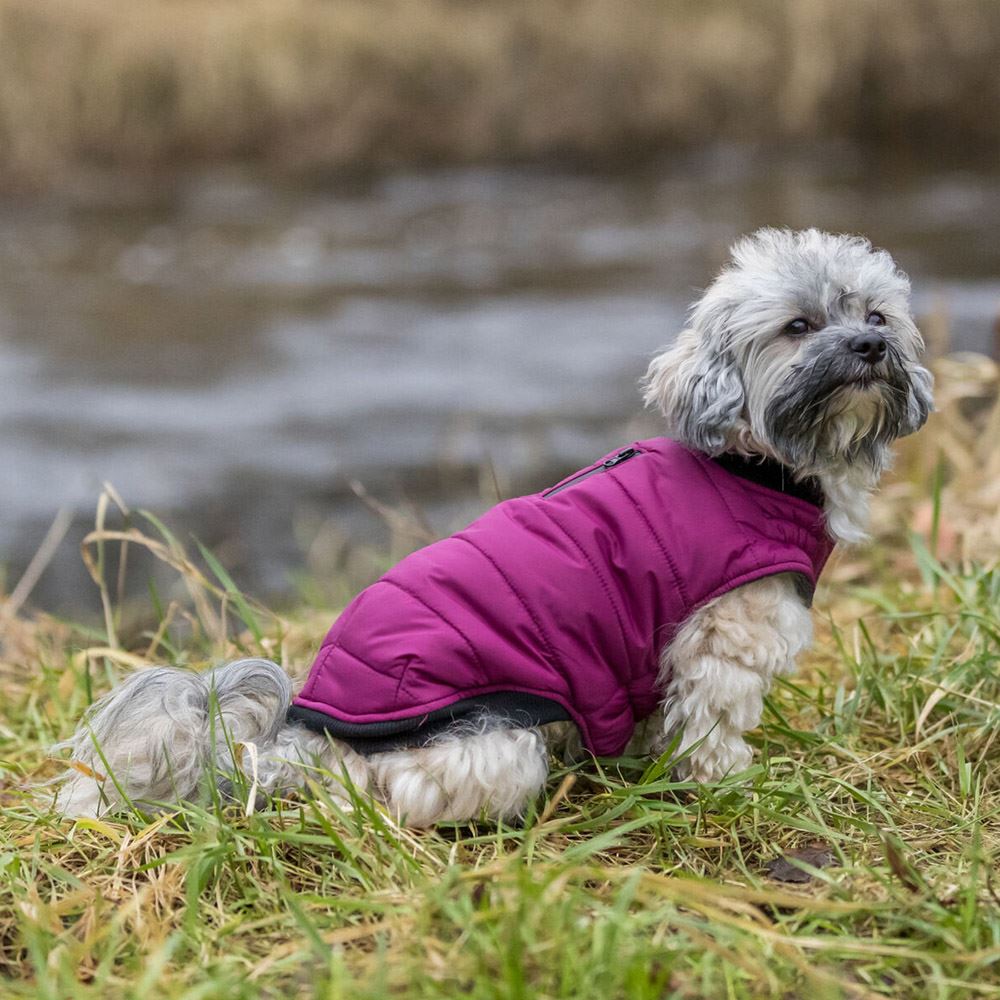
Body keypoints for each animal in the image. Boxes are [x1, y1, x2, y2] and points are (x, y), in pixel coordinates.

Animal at [52, 229, 928, 828]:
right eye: (798, 326)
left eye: (876, 313)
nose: (869, 344)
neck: (754, 466)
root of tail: (298, 729)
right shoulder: (722, 642)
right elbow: (710, 725)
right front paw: (730, 780)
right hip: (494, 741)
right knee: (393, 792)